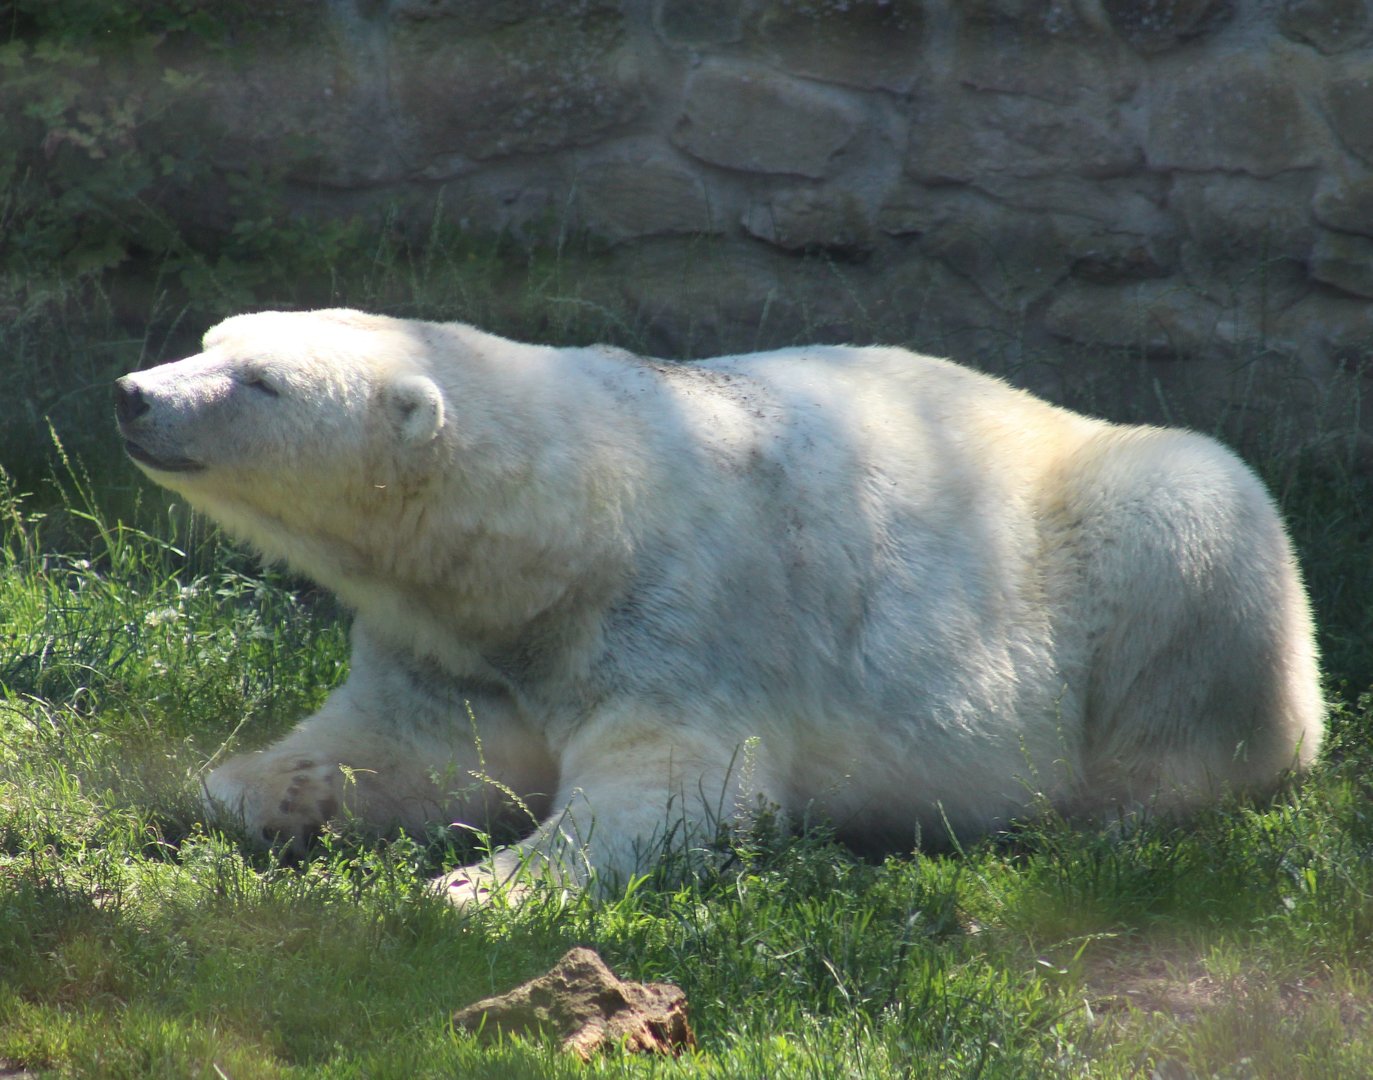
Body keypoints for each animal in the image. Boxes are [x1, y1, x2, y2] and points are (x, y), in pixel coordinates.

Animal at [114, 308, 1324, 903]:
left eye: (260, 381)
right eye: (214, 340)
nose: (134, 393)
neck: (567, 531)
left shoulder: (680, 614)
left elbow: (676, 788)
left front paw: (471, 888)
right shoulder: (450, 642)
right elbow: (402, 743)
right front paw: (267, 791)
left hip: (1127, 533)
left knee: (1194, 532)